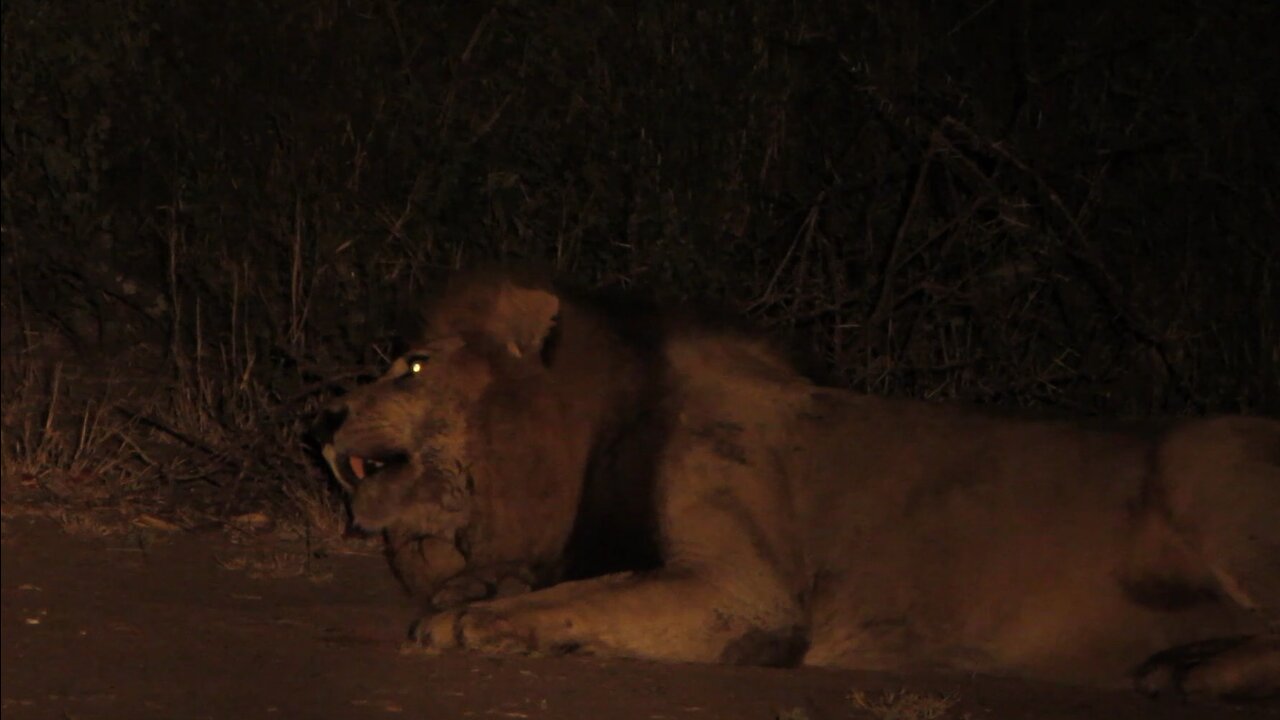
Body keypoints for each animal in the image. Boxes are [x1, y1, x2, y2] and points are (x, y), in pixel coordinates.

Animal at [312, 267, 1280, 696]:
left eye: (412, 365)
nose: (331, 416)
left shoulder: (742, 593)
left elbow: (579, 599)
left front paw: (468, 621)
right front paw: (472, 592)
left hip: (1207, 465)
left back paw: (1189, 668)